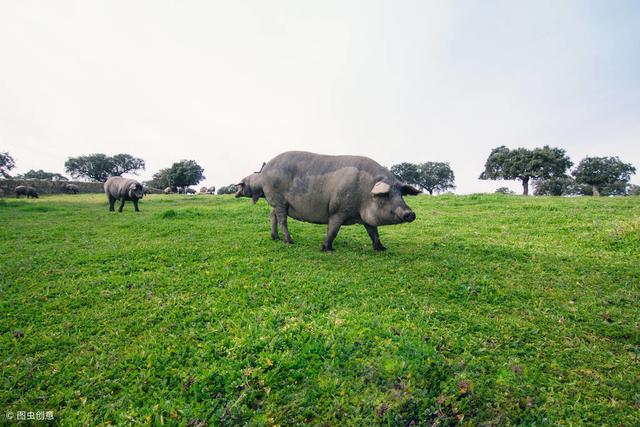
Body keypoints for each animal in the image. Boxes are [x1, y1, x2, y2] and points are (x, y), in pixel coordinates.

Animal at [235, 150, 420, 251]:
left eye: (401, 194)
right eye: (386, 195)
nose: (410, 213)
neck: (365, 192)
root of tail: (265, 171)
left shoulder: (366, 219)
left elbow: (373, 232)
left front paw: (381, 249)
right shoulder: (338, 210)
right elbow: (333, 230)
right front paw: (327, 249)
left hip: (277, 202)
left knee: (272, 217)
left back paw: (275, 238)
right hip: (279, 200)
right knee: (282, 220)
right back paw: (290, 241)